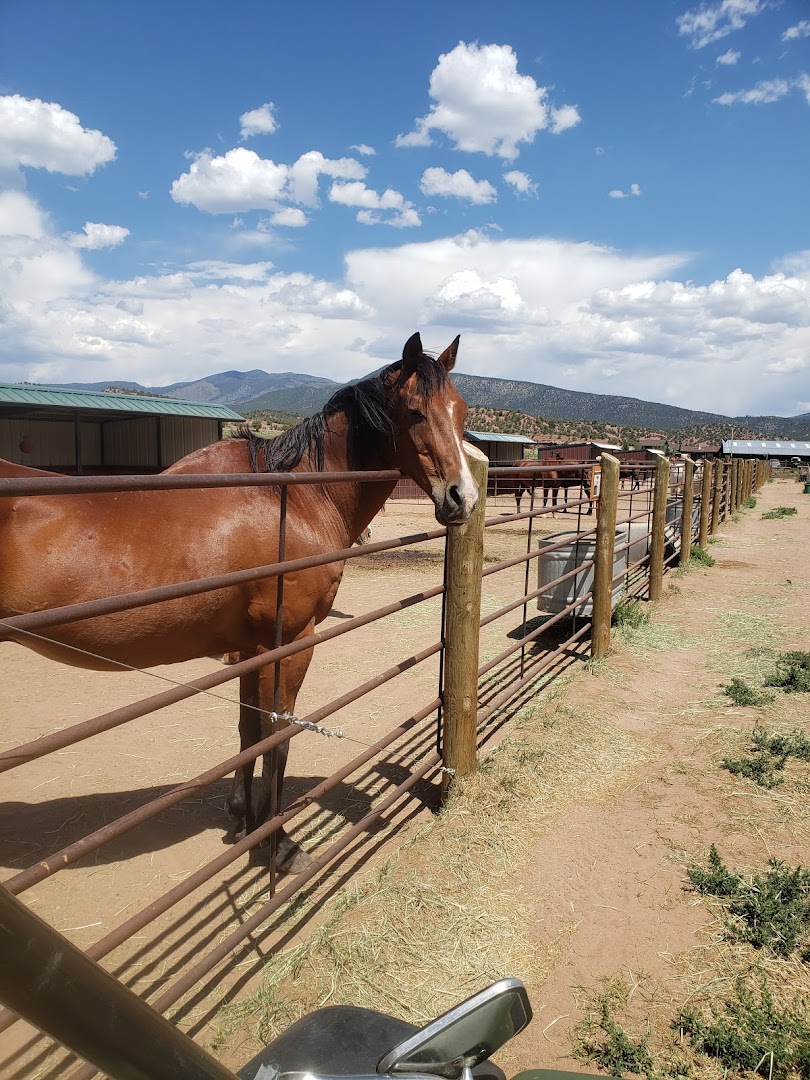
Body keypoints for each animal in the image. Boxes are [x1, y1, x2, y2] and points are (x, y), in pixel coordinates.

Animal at [0, 332, 479, 872]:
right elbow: (277, 736)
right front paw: (279, 845)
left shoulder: (251, 648)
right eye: (415, 412)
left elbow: (249, 730)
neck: (292, 499)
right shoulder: (289, 643)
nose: (463, 498)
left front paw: (245, 816)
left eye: (461, 411)